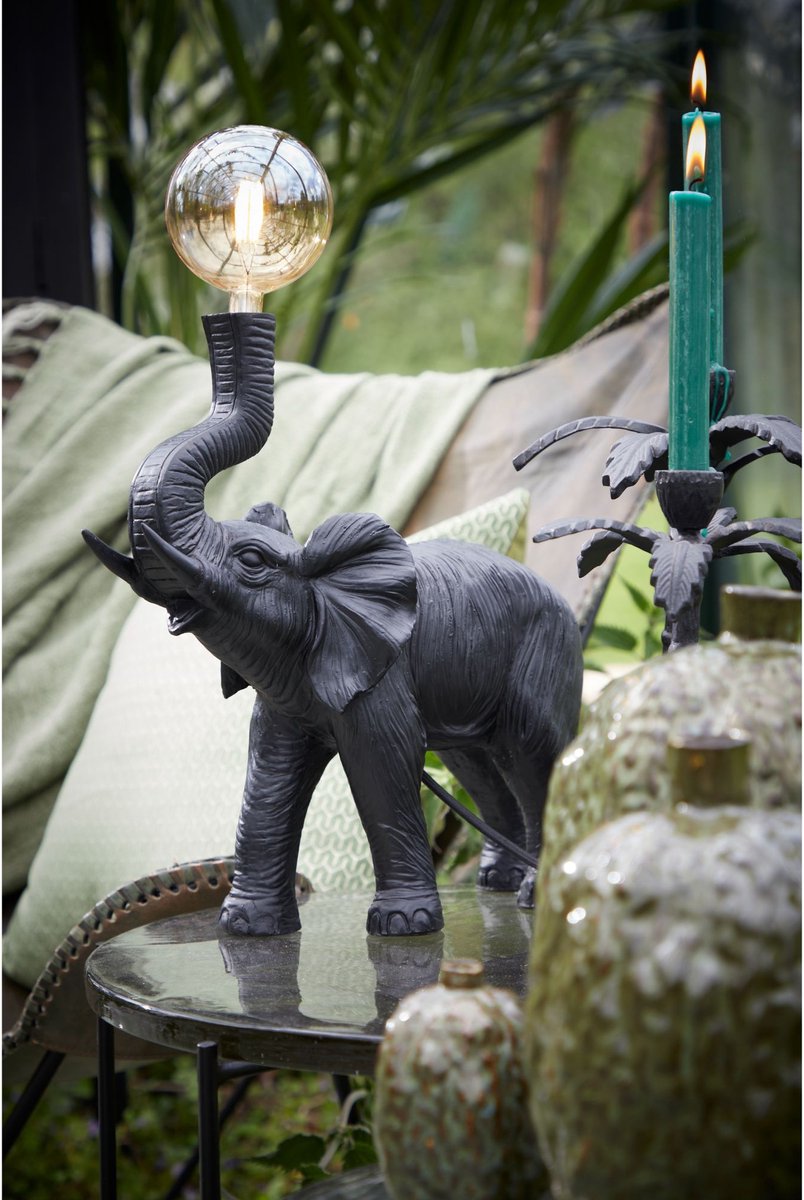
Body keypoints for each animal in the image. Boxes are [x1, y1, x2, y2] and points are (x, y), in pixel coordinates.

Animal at [83, 312, 583, 937]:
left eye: (252, 561)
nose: (227, 318)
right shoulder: (286, 698)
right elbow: (270, 773)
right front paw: (246, 927)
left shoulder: (380, 673)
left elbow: (381, 765)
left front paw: (403, 926)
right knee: (477, 766)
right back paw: (497, 882)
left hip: (545, 656)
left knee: (531, 755)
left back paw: (534, 895)